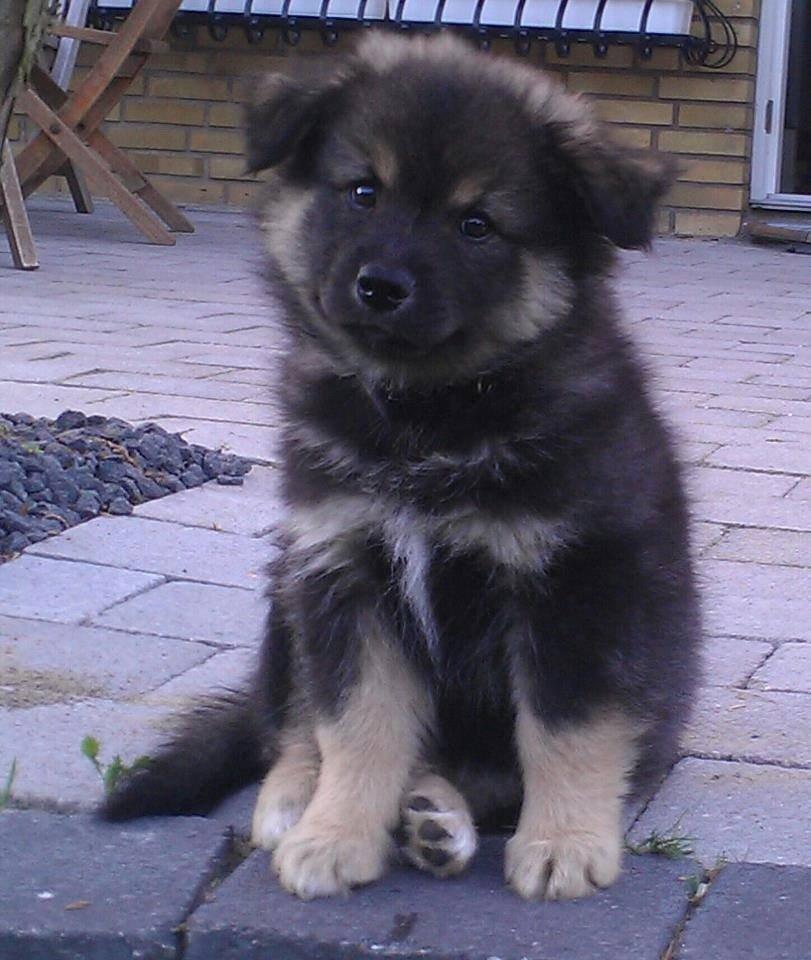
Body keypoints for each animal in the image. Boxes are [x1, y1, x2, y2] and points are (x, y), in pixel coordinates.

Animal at [104, 33, 700, 904]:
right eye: (362, 192)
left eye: (477, 225)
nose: (379, 287)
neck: (427, 415)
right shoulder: (342, 569)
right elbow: (356, 724)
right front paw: (333, 834)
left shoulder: (576, 582)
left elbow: (564, 727)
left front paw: (561, 843)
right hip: (287, 594)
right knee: (290, 723)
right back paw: (302, 800)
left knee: (480, 774)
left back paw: (435, 817)